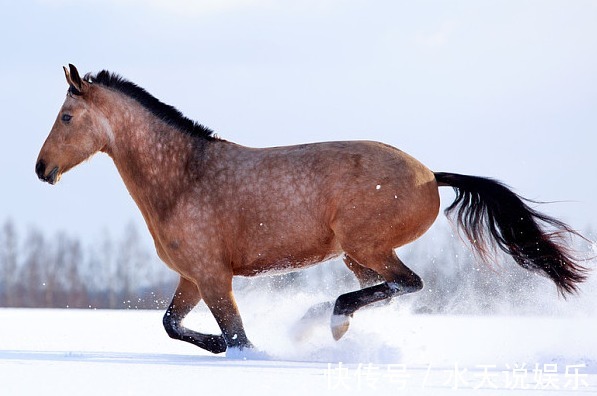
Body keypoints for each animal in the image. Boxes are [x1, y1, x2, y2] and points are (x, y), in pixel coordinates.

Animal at [36, 65, 588, 356]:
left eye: (66, 117)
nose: (42, 169)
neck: (183, 178)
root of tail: (432, 175)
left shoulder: (214, 277)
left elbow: (236, 336)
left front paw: (244, 353)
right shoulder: (191, 277)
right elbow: (172, 324)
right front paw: (223, 348)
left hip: (367, 245)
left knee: (407, 284)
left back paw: (329, 320)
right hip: (356, 254)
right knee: (385, 287)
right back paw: (321, 321)